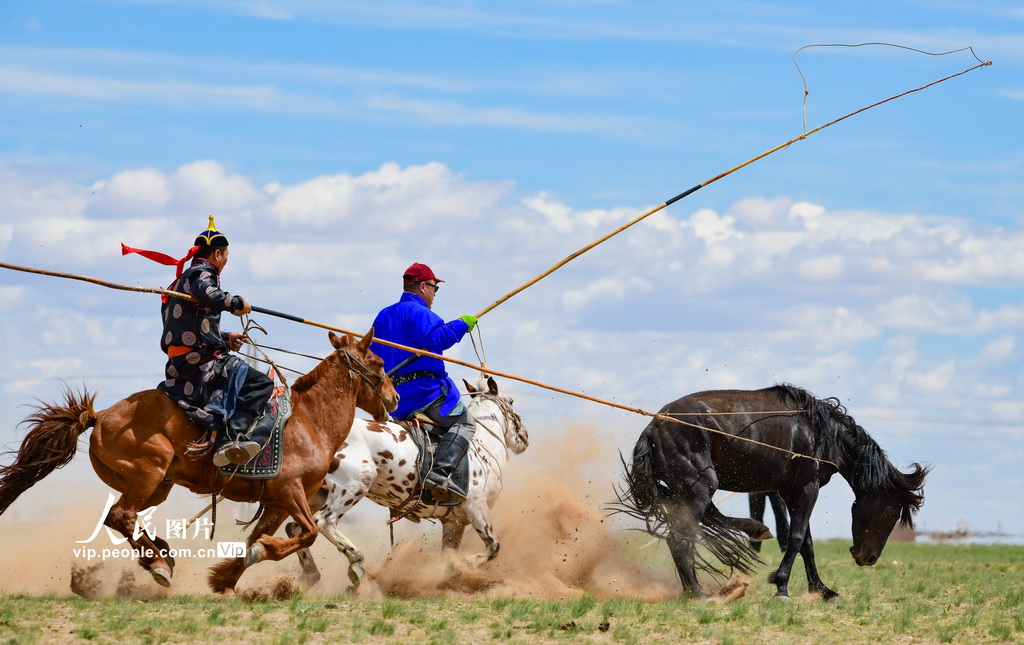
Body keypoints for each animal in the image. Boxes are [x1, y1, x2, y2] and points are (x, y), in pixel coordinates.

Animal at [0, 331, 398, 596]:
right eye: (378, 363)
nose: (393, 399)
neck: (310, 421)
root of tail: (100, 416)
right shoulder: (290, 492)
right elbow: (308, 533)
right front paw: (258, 556)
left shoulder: (274, 503)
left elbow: (255, 538)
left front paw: (225, 579)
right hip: (148, 472)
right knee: (121, 516)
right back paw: (159, 565)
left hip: (155, 486)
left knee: (127, 518)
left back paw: (161, 555)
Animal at [287, 374, 529, 589]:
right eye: (511, 401)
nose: (525, 436)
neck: (481, 446)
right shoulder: (476, 507)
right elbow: (493, 547)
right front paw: (464, 565)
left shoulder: (454, 522)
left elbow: (449, 554)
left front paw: (448, 573)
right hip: (354, 485)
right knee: (324, 522)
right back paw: (357, 563)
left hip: (318, 493)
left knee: (298, 528)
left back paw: (309, 575)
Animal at [613, 383, 929, 599]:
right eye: (891, 514)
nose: (868, 558)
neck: (822, 435)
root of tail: (652, 429)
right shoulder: (807, 489)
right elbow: (797, 537)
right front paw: (781, 586)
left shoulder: (790, 492)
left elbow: (806, 542)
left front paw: (821, 590)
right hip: (699, 488)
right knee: (679, 539)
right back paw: (700, 594)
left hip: (688, 492)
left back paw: (750, 533)